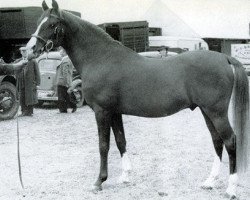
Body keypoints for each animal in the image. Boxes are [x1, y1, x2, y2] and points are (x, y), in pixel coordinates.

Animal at [25, 0, 248, 198]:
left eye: (52, 24)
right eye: (38, 21)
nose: (28, 50)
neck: (101, 58)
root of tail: (225, 58)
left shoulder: (102, 111)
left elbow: (103, 145)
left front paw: (99, 182)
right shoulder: (115, 112)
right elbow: (120, 141)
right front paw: (125, 176)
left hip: (216, 112)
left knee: (230, 141)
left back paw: (231, 189)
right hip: (206, 111)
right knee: (217, 141)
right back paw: (210, 182)